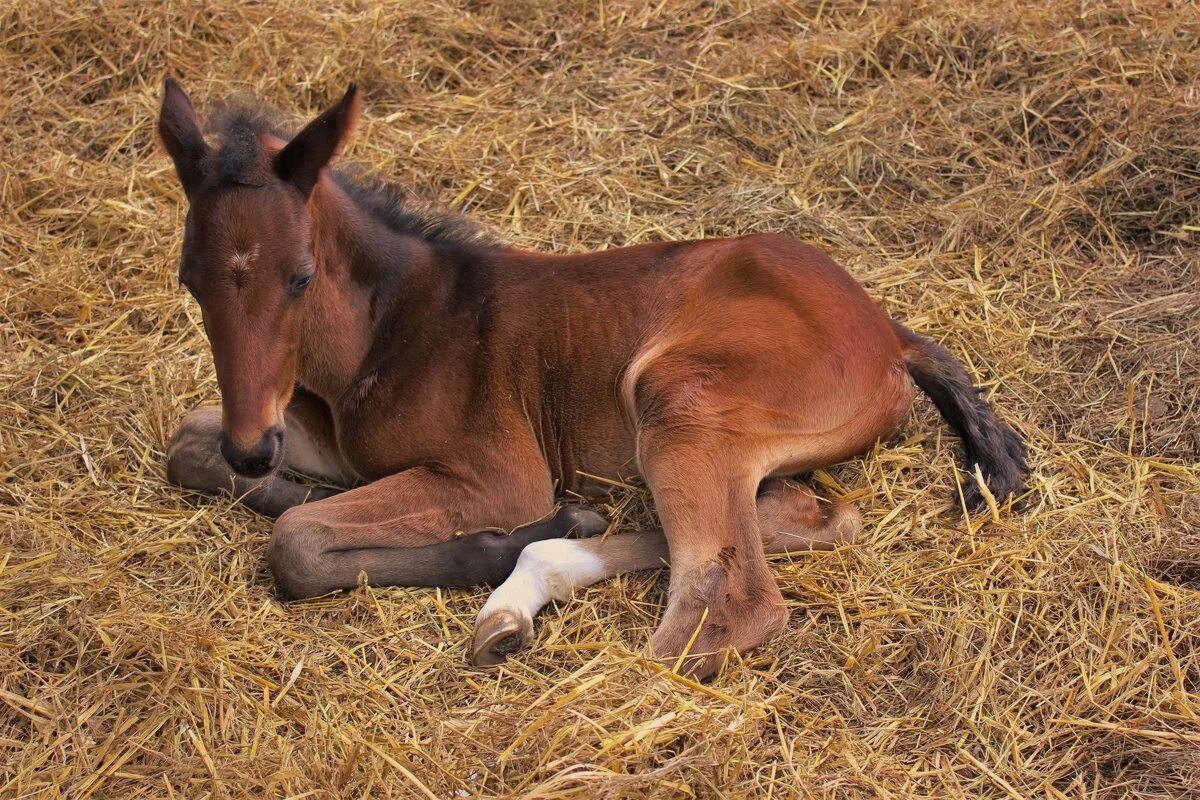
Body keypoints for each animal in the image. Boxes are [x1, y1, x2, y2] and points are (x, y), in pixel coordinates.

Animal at [157, 81, 1022, 681]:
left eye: (300, 278)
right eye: (189, 280)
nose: (252, 449)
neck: (392, 325)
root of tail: (889, 333)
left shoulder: (498, 475)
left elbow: (297, 543)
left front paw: (486, 544)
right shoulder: (313, 436)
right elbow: (187, 446)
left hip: (676, 396)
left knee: (729, 604)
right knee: (798, 515)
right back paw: (527, 587)